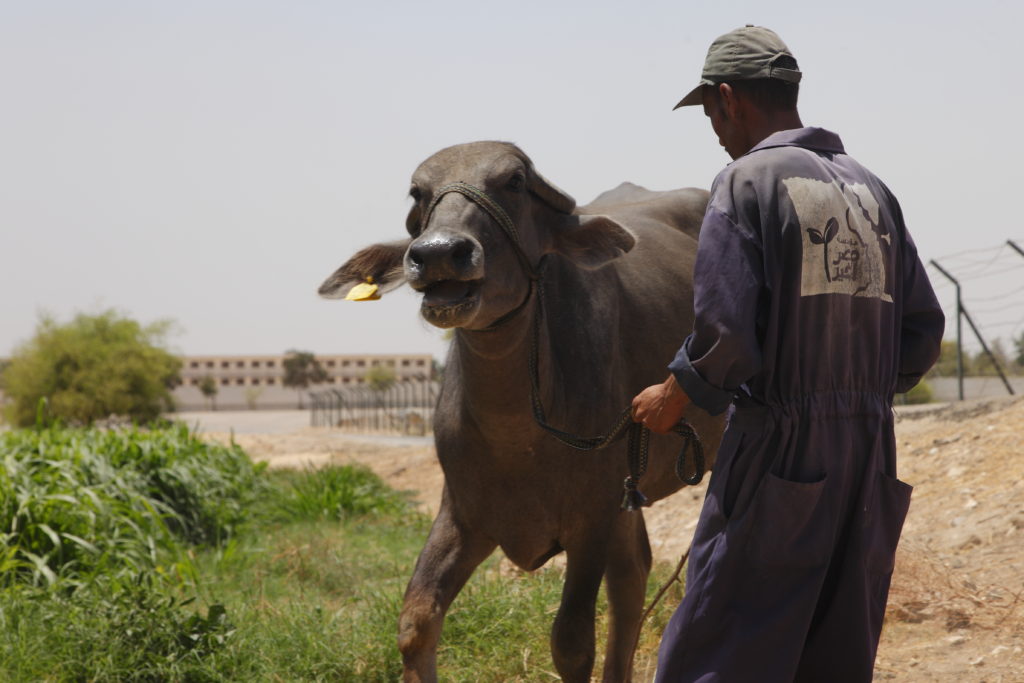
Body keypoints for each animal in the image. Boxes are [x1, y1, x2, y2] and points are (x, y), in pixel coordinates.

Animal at [319, 141, 729, 679]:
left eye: (513, 182)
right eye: (418, 192)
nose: (439, 253)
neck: (518, 435)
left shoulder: (591, 519)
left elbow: (572, 640)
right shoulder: (463, 513)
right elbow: (415, 623)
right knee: (632, 574)